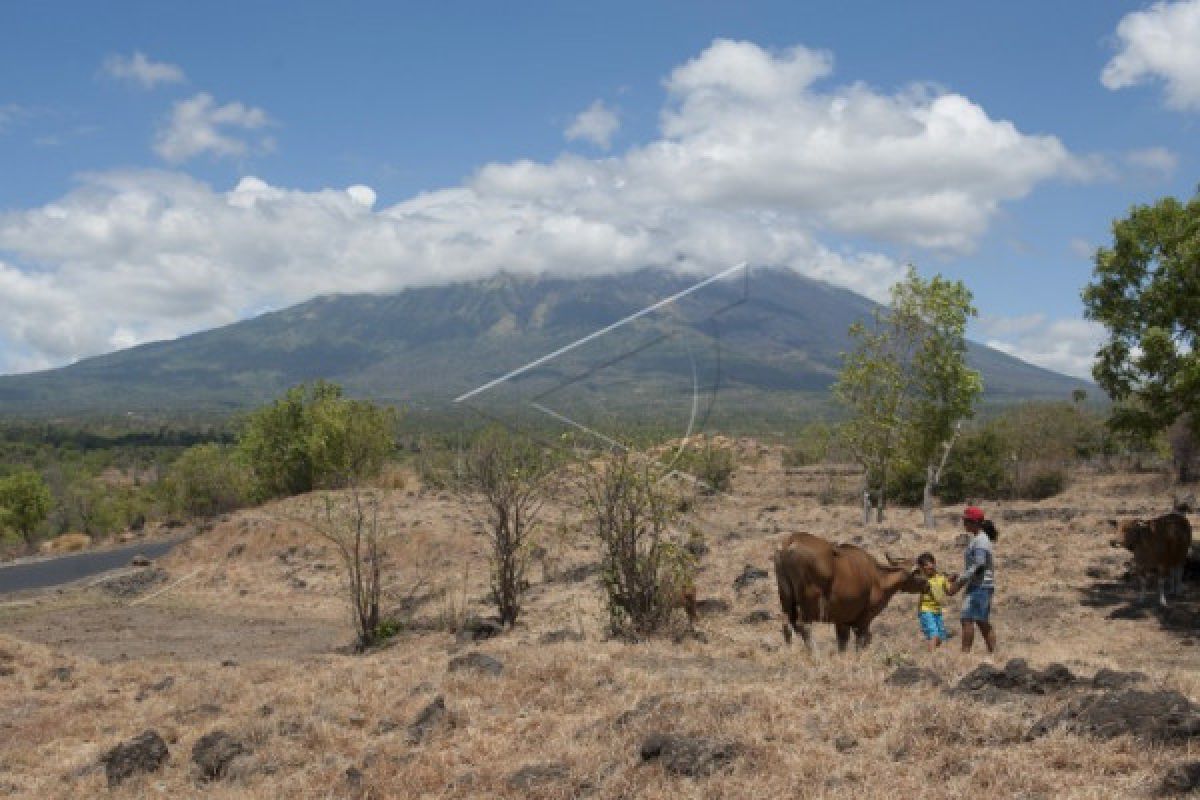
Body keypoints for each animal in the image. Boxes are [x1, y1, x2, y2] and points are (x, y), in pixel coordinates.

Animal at [777, 532, 926, 657]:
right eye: (919, 572)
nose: (927, 584)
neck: (878, 578)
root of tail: (791, 541)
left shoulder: (842, 620)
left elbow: (842, 642)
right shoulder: (863, 619)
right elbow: (862, 640)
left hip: (786, 599)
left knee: (786, 625)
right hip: (808, 604)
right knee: (804, 626)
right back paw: (815, 655)